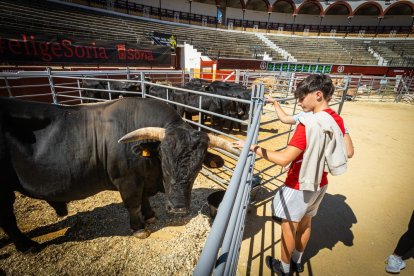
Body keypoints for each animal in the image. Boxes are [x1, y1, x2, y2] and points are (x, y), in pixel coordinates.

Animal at [0, 97, 239, 252]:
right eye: (165, 162)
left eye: (198, 168)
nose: (179, 208)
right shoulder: (127, 181)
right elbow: (133, 204)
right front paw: (139, 229)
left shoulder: (141, 179)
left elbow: (144, 199)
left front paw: (150, 215)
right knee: (7, 219)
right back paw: (27, 246)